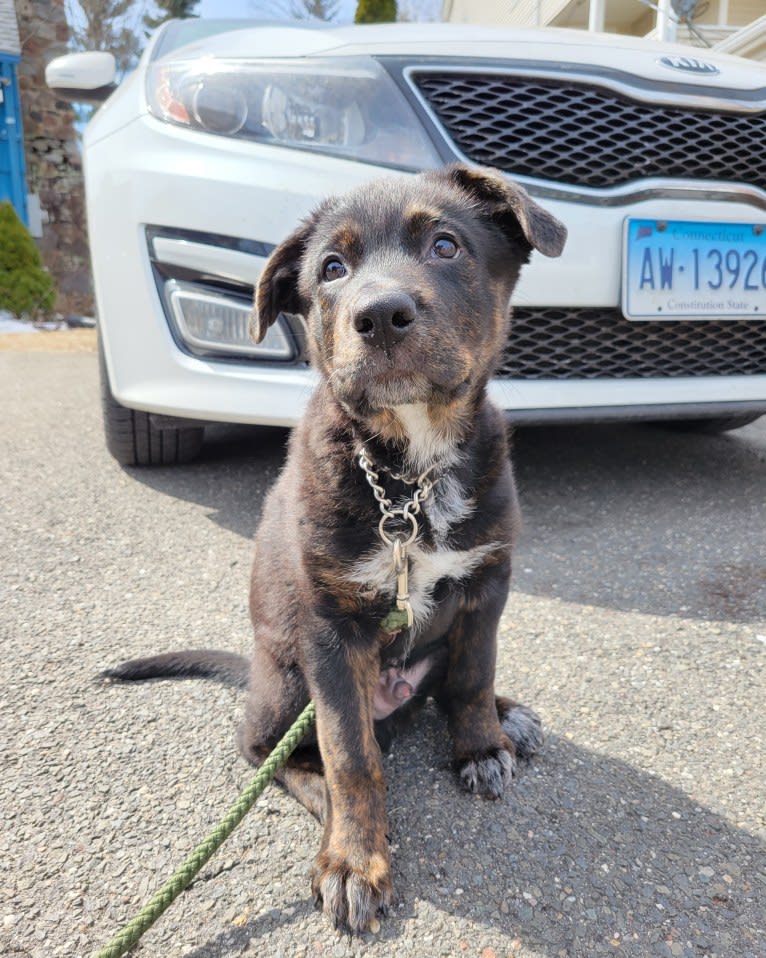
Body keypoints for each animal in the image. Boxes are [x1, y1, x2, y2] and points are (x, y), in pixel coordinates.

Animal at [105, 167, 568, 936]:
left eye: (446, 245)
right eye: (331, 269)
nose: (379, 315)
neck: (409, 477)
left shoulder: (487, 582)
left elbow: (473, 675)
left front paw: (481, 743)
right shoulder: (329, 628)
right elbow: (350, 755)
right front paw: (354, 859)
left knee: (444, 684)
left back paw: (507, 716)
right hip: (287, 682)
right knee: (269, 749)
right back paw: (325, 804)